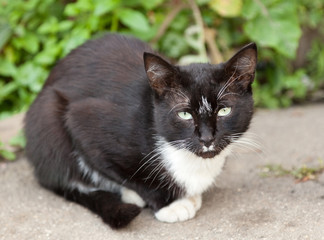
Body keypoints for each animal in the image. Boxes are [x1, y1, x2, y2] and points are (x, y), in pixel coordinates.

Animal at [24, 32, 258, 228]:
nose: (207, 138)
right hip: (46, 118)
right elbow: (130, 176)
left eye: (224, 110)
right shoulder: (84, 121)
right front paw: (169, 204)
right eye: (184, 114)